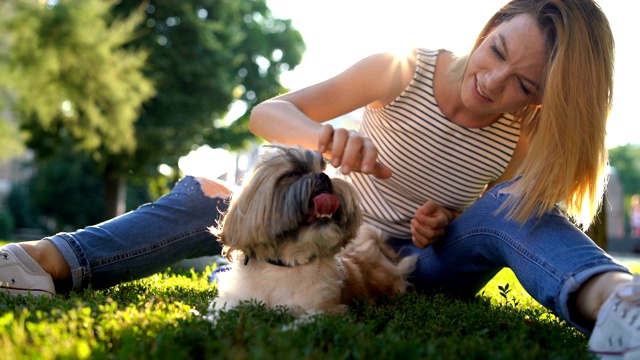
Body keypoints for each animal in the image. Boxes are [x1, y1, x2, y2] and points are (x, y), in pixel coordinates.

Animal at [209, 145, 416, 316]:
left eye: (324, 170)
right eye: (294, 173)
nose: (324, 177)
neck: (287, 265)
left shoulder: (323, 310)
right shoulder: (233, 300)